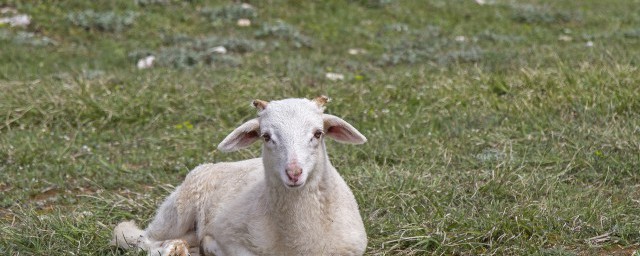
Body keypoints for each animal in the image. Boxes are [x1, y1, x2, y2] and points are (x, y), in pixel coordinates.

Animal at [112, 96, 368, 256]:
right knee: (142, 239)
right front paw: (208, 247)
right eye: (266, 136)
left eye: (318, 133)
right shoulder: (231, 238)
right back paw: (173, 249)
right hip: (177, 210)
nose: (294, 173)